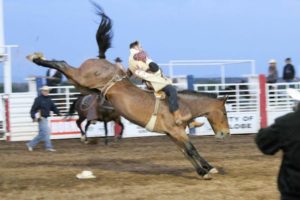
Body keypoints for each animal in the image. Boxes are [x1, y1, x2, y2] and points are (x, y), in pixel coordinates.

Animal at [27, 3, 230, 180]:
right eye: (224, 112)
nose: (226, 133)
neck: (183, 104)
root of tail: (101, 59)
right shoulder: (176, 131)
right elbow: (191, 149)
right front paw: (207, 170)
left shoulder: (172, 134)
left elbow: (186, 152)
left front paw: (205, 169)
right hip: (81, 77)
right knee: (62, 64)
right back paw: (36, 59)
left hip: (81, 84)